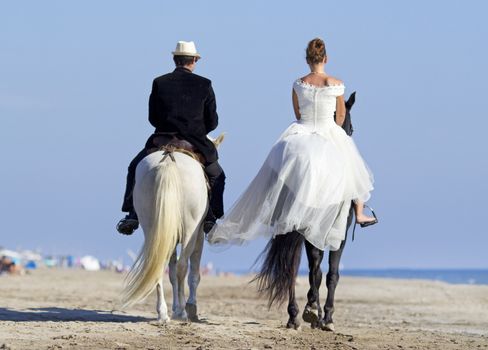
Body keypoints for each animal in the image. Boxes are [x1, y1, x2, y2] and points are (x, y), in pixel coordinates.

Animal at [121, 135, 224, 322]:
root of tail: (168, 160)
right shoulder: (198, 236)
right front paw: (189, 307)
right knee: (183, 267)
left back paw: (162, 313)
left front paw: (174, 308)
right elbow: (193, 274)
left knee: (158, 265)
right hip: (190, 230)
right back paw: (182, 312)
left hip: (153, 229)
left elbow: (171, 273)